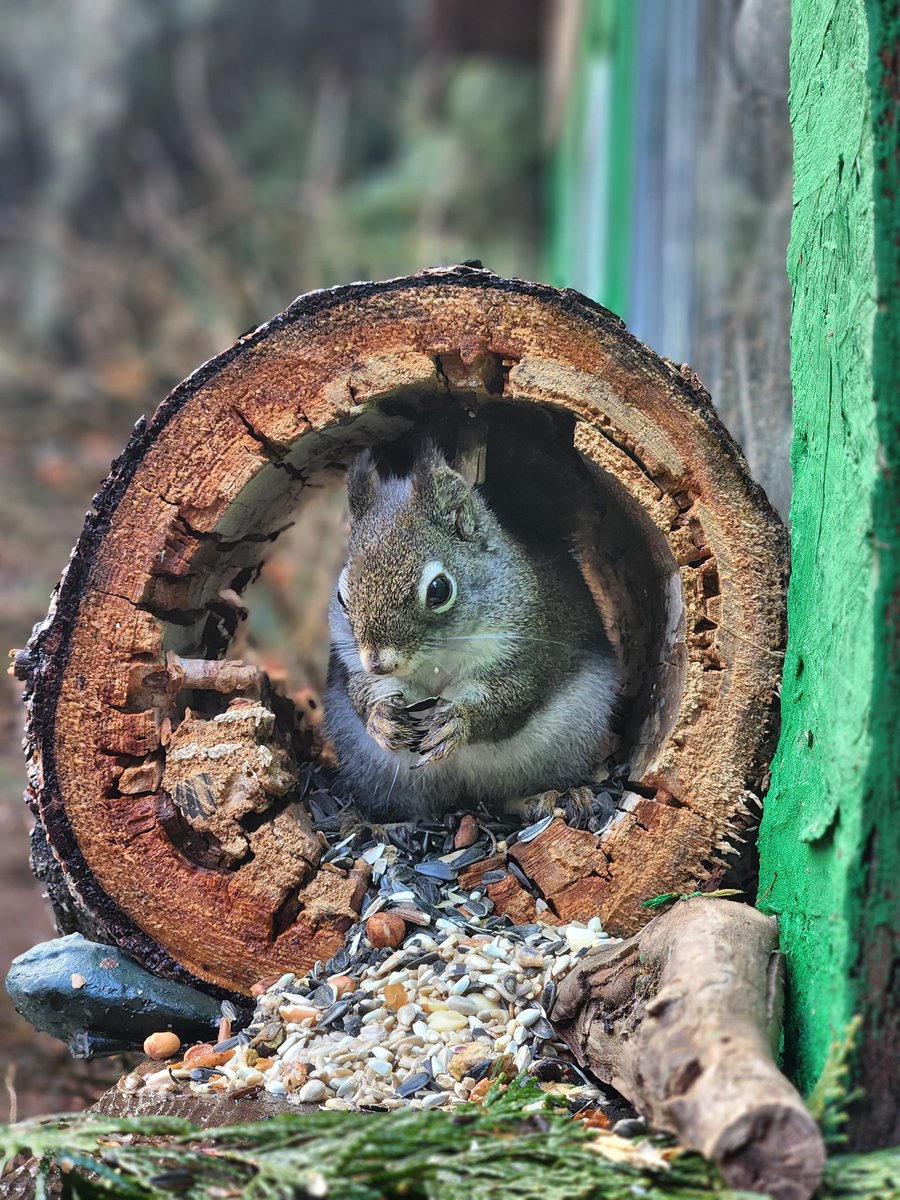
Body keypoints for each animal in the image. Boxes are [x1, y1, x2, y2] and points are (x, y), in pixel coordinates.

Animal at [323, 437, 619, 822]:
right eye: (341, 597)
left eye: (439, 589)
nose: (379, 663)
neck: (436, 660)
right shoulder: (351, 664)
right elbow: (360, 691)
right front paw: (381, 718)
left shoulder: (528, 651)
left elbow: (509, 698)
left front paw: (458, 721)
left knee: (509, 797)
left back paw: (549, 798)